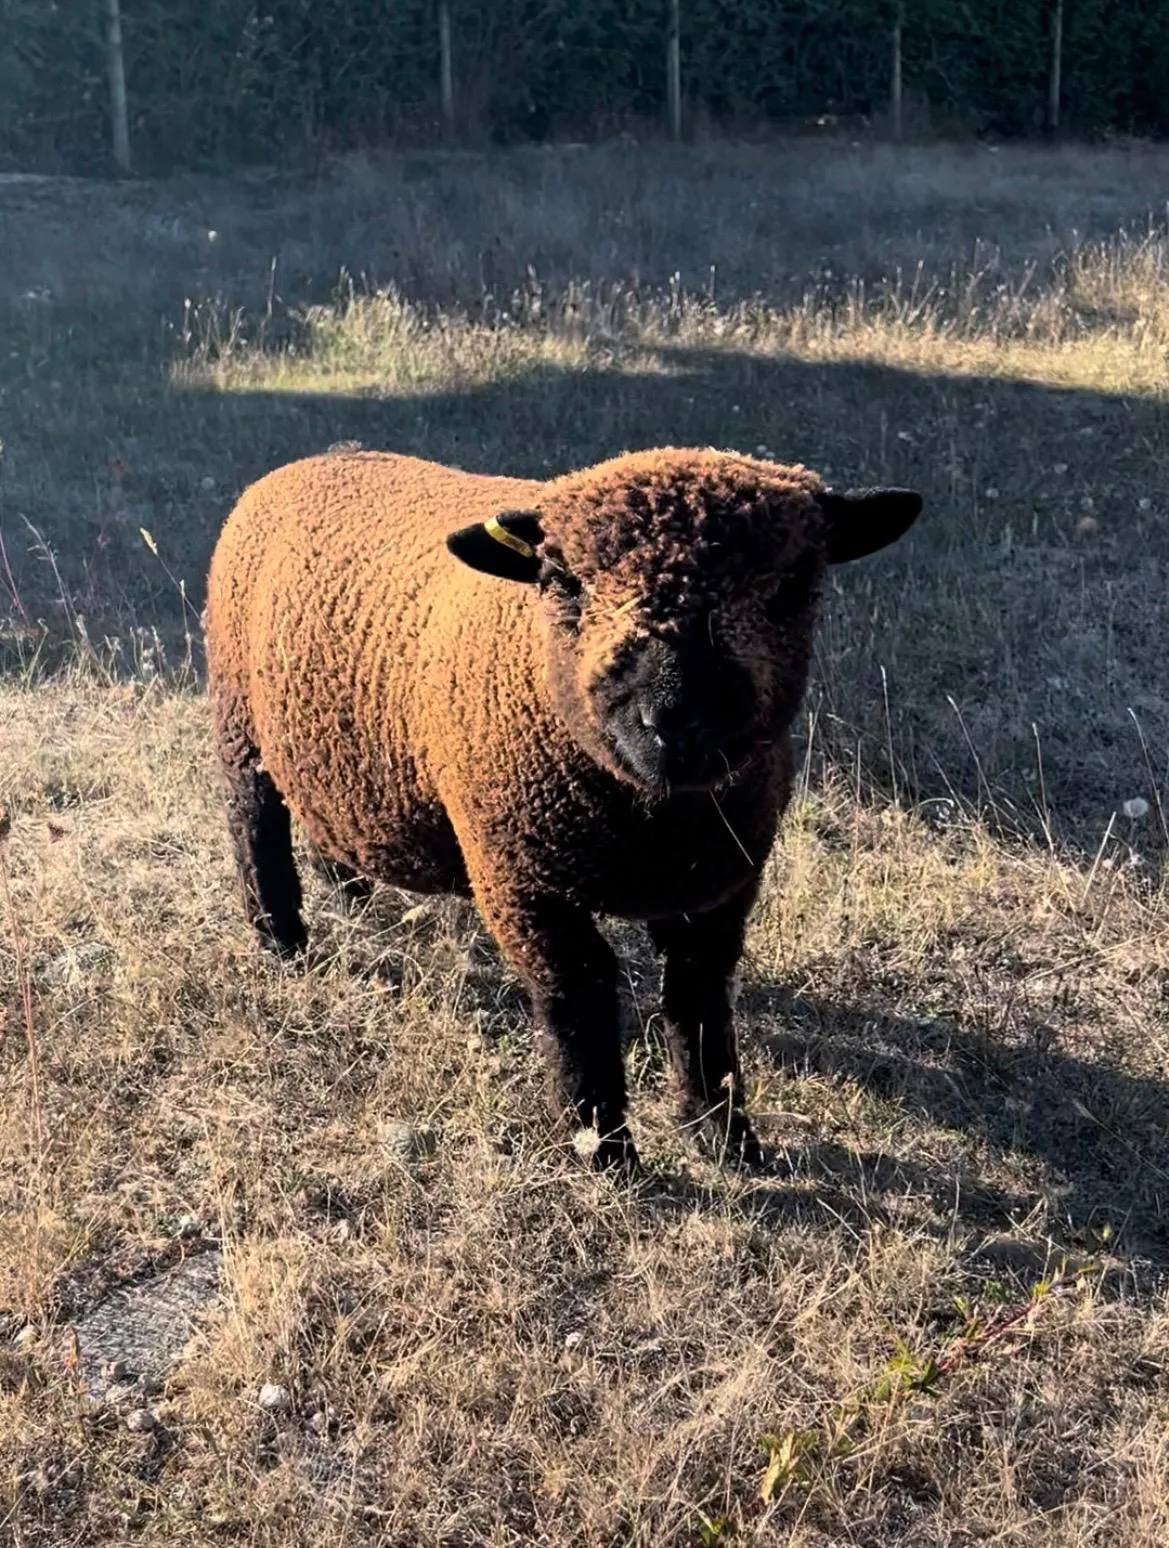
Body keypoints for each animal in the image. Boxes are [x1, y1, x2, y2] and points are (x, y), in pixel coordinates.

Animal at [203, 446, 921, 1173]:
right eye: (564, 582)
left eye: (792, 587)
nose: (672, 717)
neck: (655, 821)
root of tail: (320, 458)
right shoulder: (522, 880)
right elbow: (579, 994)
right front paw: (605, 1149)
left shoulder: (724, 885)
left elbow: (697, 998)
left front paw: (724, 1137)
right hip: (240, 721)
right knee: (254, 827)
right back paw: (281, 942)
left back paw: (346, 893)